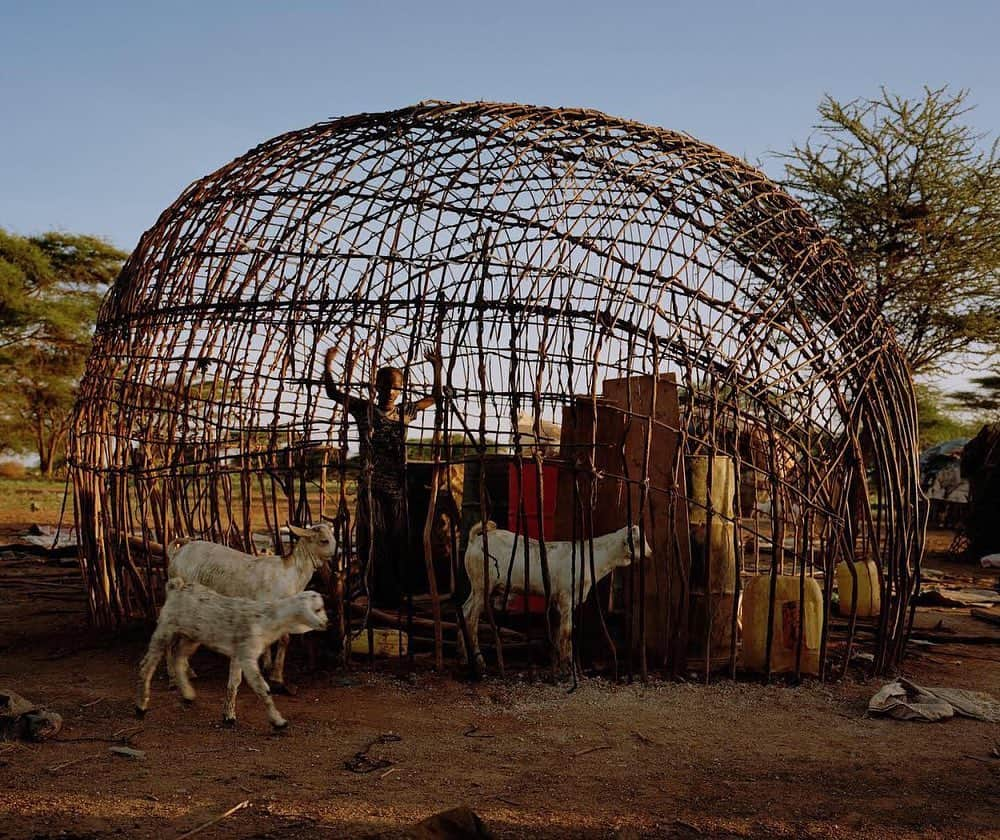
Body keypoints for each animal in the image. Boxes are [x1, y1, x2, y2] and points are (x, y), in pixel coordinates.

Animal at [135, 580, 324, 732]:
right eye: (318, 609)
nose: (326, 623)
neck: (267, 620)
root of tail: (175, 586)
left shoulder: (238, 653)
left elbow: (234, 683)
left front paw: (229, 716)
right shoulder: (247, 655)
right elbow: (262, 688)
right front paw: (278, 722)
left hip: (192, 636)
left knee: (178, 657)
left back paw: (188, 694)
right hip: (165, 628)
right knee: (147, 665)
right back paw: (141, 706)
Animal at [165, 524, 336, 688]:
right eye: (324, 540)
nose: (335, 555)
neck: (291, 575)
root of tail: (176, 553)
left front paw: (267, 667)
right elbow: (284, 639)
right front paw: (277, 676)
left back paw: (188, 672)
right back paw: (173, 678)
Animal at [458, 520, 652, 672]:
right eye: (639, 540)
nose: (650, 552)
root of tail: (476, 539)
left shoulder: (562, 600)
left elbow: (559, 632)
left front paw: (560, 665)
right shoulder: (566, 596)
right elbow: (567, 632)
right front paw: (568, 668)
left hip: (476, 587)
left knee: (463, 611)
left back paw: (465, 658)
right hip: (483, 585)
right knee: (472, 618)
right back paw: (479, 662)